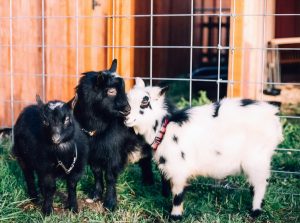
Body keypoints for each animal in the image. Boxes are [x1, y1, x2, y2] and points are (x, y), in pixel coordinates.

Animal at [71, 58, 154, 211]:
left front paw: (110, 203)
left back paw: (148, 181)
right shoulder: (94, 153)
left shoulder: (114, 152)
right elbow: (97, 173)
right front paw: (95, 196)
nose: (127, 109)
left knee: (146, 158)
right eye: (111, 91)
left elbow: (109, 176)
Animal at [125, 78, 284, 220]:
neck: (165, 128)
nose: (125, 114)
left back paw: (255, 211)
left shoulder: (179, 170)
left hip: (257, 159)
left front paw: (175, 216)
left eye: (145, 101)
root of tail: (273, 115)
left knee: (260, 184)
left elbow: (178, 195)